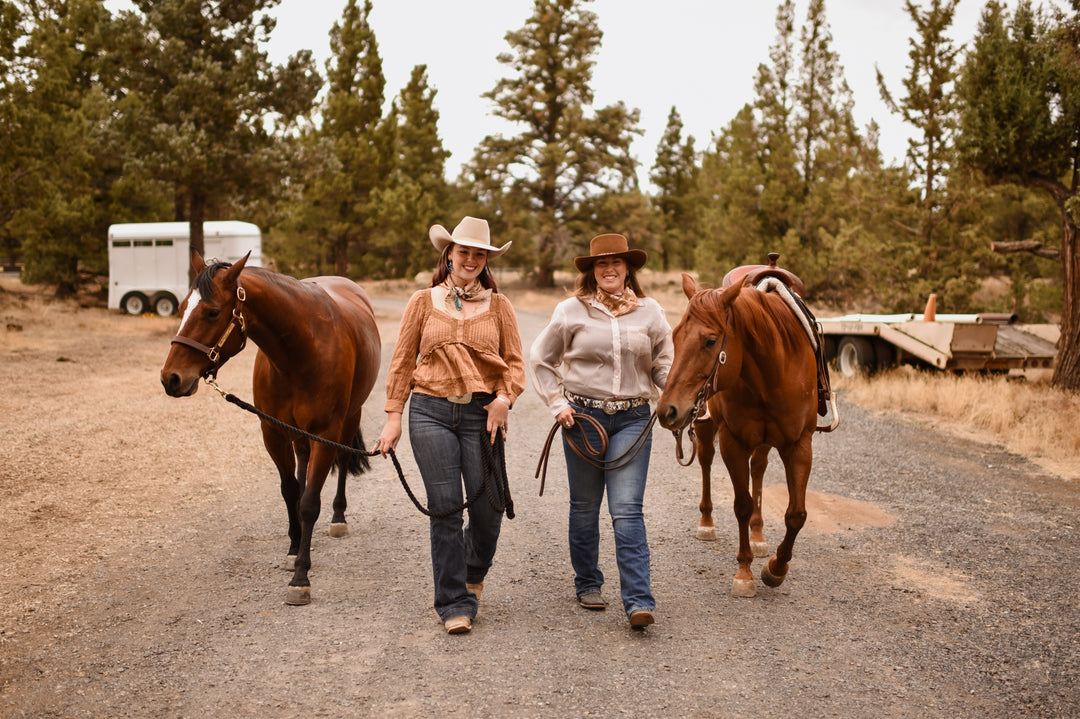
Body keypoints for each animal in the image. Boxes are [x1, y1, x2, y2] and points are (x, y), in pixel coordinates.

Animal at [160, 252, 381, 605]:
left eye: (212, 312)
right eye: (181, 308)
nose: (171, 378)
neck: (301, 351)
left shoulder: (326, 434)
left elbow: (310, 503)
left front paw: (300, 578)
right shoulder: (272, 432)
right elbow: (291, 491)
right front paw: (294, 548)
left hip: (350, 418)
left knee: (343, 463)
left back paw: (338, 518)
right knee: (302, 466)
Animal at [657, 270, 832, 598]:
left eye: (710, 341)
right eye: (674, 336)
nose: (667, 410)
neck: (771, 374)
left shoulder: (799, 444)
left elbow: (796, 513)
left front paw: (776, 569)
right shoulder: (732, 442)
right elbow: (742, 504)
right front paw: (744, 572)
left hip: (764, 443)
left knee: (759, 469)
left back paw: (759, 535)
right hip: (706, 426)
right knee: (706, 461)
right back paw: (707, 522)